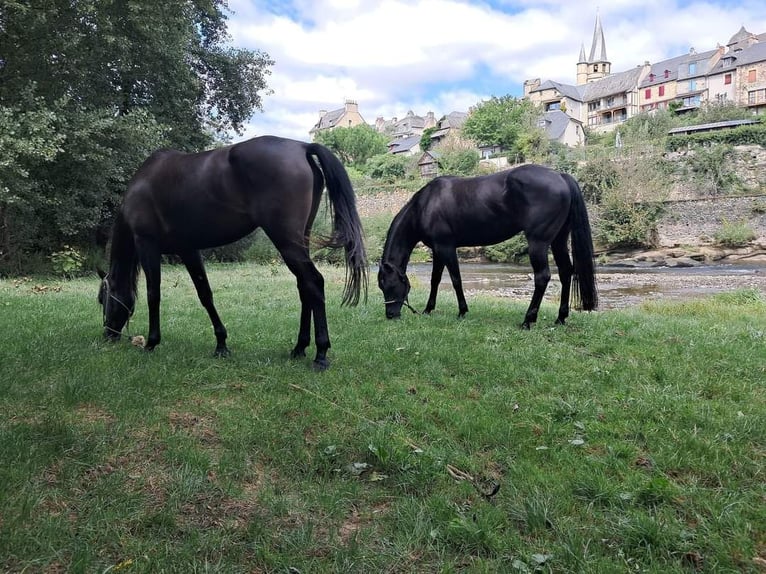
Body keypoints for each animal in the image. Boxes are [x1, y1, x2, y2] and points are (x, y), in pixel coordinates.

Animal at [99, 135, 368, 372]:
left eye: (103, 299)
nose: (108, 335)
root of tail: (302, 147)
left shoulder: (148, 246)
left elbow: (153, 295)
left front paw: (152, 342)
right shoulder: (189, 250)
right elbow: (205, 295)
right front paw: (221, 344)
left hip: (286, 241)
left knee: (314, 283)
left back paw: (320, 354)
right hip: (300, 240)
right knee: (305, 288)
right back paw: (299, 348)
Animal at [378, 164, 600, 330]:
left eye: (389, 285)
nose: (391, 315)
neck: (425, 206)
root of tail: (560, 176)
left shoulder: (446, 248)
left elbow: (456, 280)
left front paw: (462, 311)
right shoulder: (438, 251)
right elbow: (435, 280)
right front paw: (428, 309)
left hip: (538, 242)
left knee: (543, 276)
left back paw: (528, 320)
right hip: (558, 240)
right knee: (565, 272)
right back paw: (560, 318)